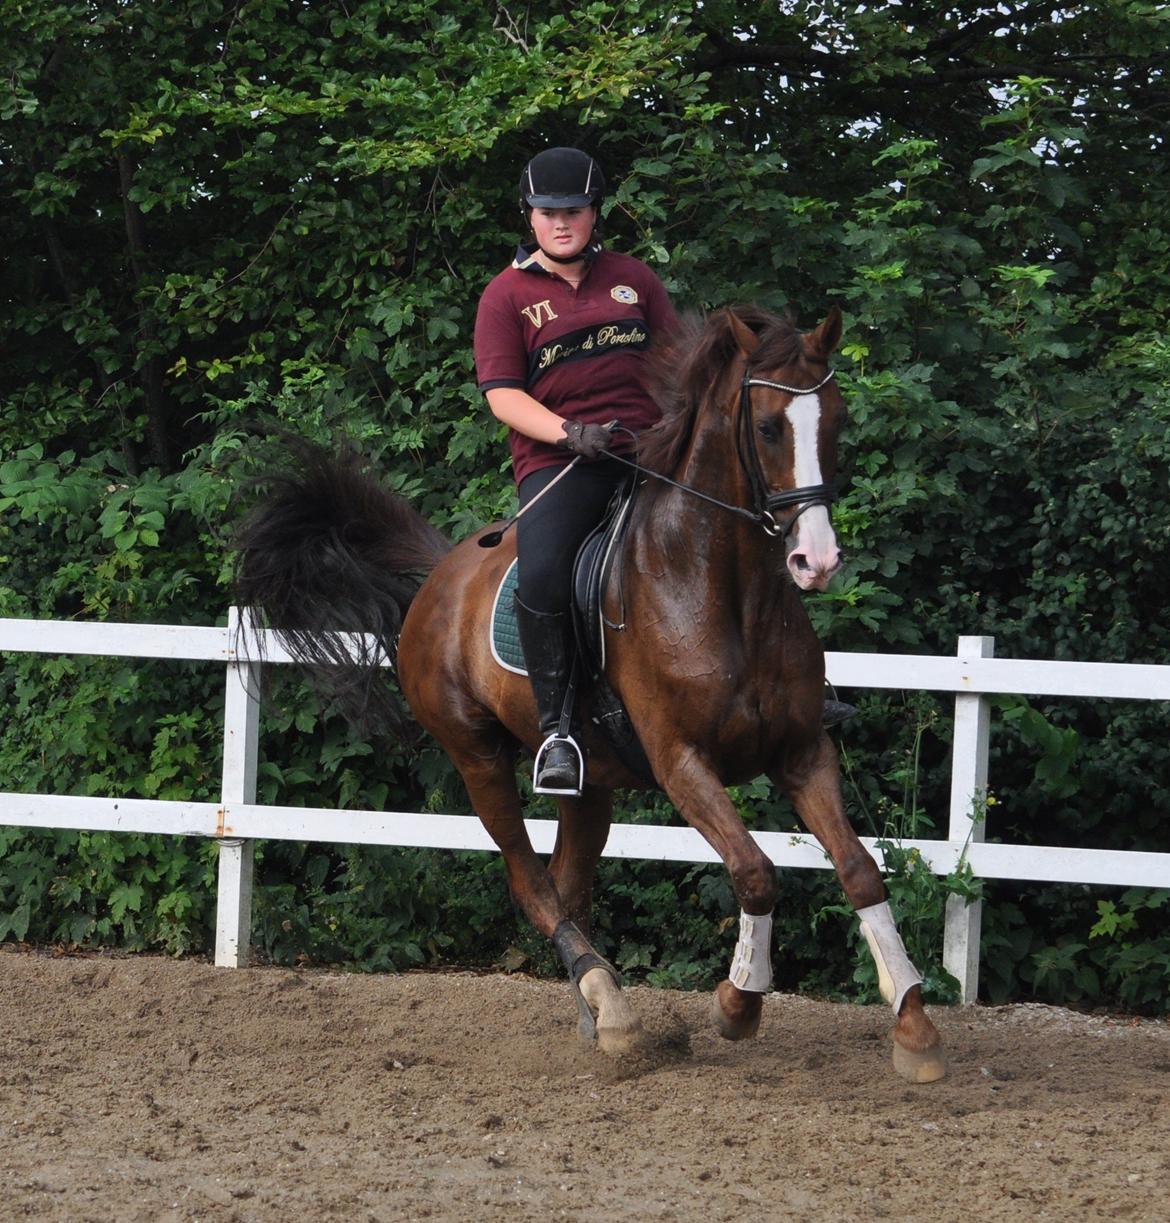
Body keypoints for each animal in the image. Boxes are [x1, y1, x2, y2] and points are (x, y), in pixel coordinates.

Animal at [232, 303, 943, 1081]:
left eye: (835, 421)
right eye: (766, 427)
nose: (816, 561)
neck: (725, 589)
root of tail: (441, 575)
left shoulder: (802, 750)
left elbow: (861, 870)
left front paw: (914, 1027)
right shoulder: (681, 761)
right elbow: (755, 872)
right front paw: (738, 1004)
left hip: (591, 780)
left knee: (568, 882)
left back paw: (597, 1010)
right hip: (477, 757)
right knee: (531, 883)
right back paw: (614, 1006)